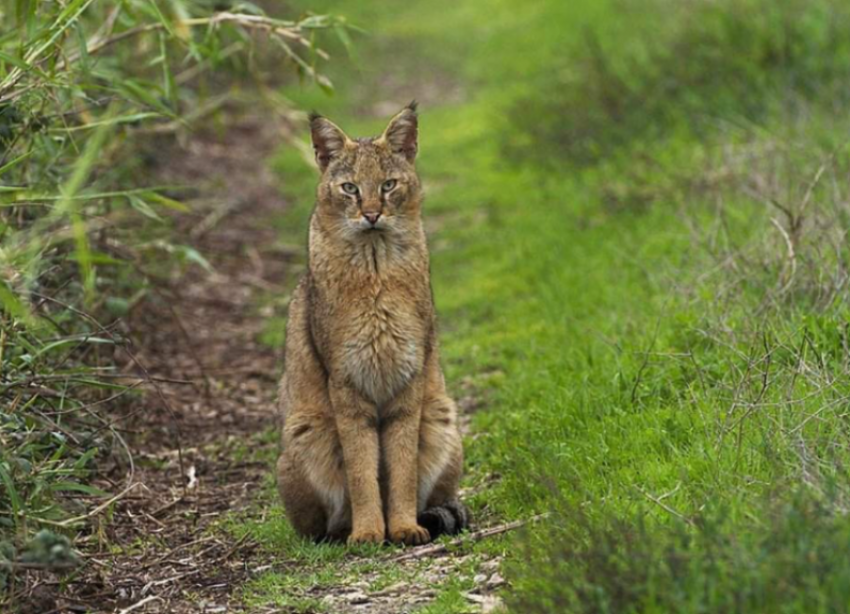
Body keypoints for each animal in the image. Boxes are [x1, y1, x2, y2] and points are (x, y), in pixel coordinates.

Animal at [274, 103, 468, 548]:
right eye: (349, 188)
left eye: (388, 184)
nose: (372, 215)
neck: (375, 267)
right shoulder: (347, 384)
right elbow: (362, 468)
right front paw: (367, 531)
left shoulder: (408, 379)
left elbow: (401, 467)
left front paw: (402, 525)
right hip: (305, 429)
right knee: (319, 524)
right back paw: (342, 530)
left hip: (441, 415)